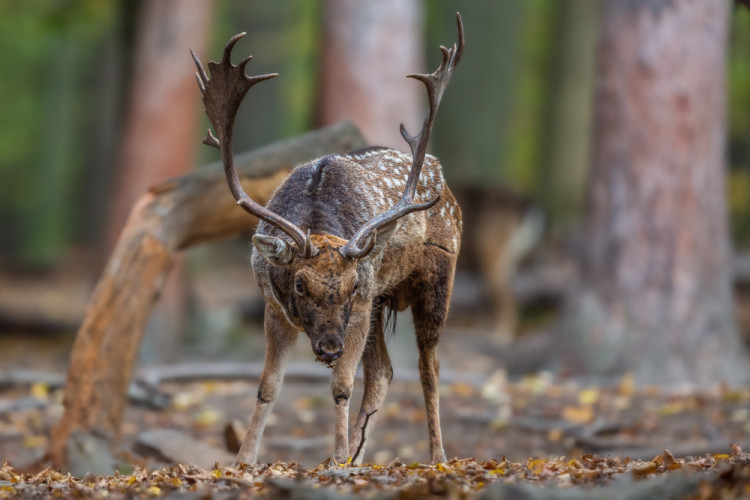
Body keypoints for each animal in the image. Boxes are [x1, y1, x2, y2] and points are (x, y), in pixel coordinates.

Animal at [194, 13, 464, 464]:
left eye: (352, 286)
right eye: (300, 284)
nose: (329, 346)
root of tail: (446, 184)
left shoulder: (360, 305)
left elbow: (341, 385)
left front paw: (336, 459)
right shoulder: (273, 304)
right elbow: (267, 387)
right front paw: (243, 460)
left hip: (437, 276)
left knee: (430, 369)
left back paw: (437, 456)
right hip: (381, 303)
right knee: (383, 372)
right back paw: (358, 452)